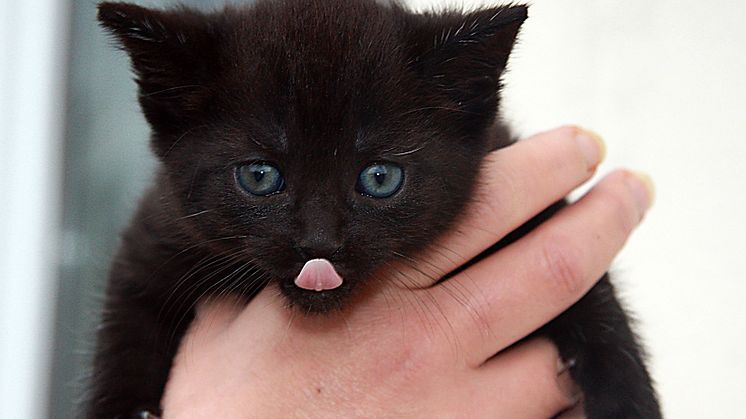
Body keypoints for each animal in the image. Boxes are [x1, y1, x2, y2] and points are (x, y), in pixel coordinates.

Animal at [91, 1, 656, 418]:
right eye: (260, 177)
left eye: (380, 178)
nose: (319, 243)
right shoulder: (156, 238)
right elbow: (123, 333)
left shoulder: (524, 203)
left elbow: (598, 306)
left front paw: (630, 401)